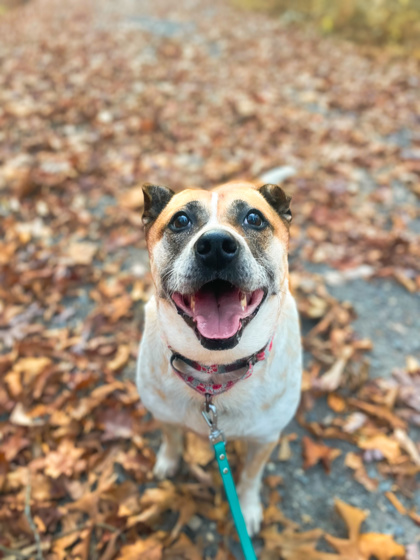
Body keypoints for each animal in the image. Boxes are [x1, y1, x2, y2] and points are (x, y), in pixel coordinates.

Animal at [137, 182, 302, 536]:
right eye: (180, 220)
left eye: (254, 218)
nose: (215, 245)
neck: (214, 370)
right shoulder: (164, 415)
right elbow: (171, 439)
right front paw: (168, 461)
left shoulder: (265, 438)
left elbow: (251, 477)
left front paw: (248, 508)